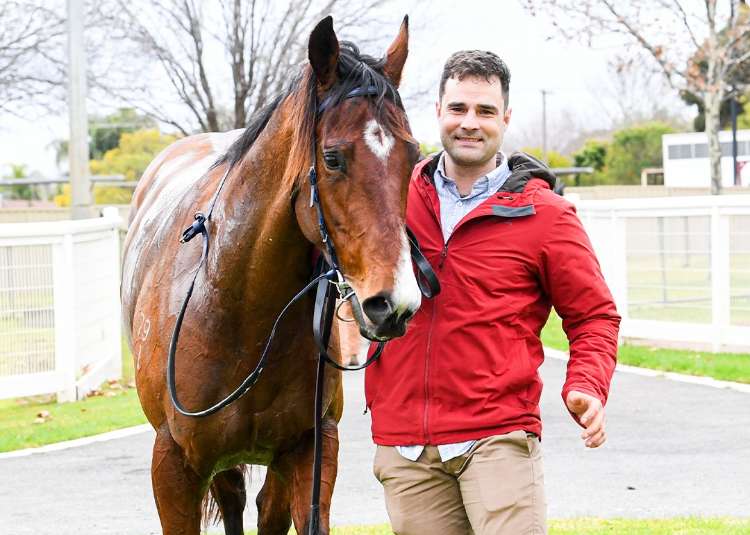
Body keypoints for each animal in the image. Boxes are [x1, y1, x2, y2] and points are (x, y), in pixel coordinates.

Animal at [121, 16, 420, 535]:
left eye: (412, 155)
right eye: (333, 158)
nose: (394, 304)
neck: (239, 309)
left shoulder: (311, 451)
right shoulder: (174, 465)